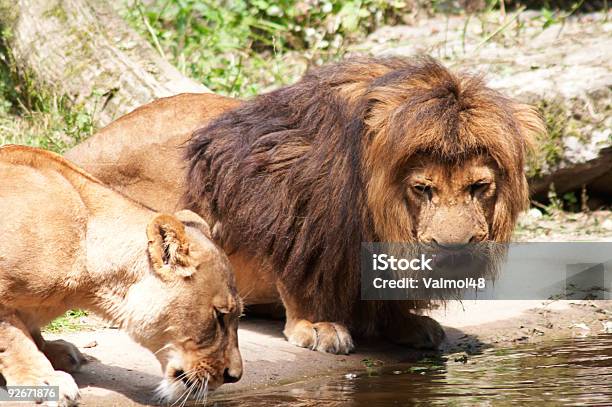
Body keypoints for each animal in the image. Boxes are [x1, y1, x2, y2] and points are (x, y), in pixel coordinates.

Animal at [0, 146, 244, 404]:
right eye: (219, 315)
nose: (234, 376)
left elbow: (30, 334)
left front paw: (55, 352)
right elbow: (14, 338)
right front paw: (45, 380)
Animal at [67, 55, 544, 356]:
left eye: (479, 187)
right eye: (422, 189)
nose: (454, 248)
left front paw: (405, 322)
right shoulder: (290, 202)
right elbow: (302, 271)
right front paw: (316, 326)